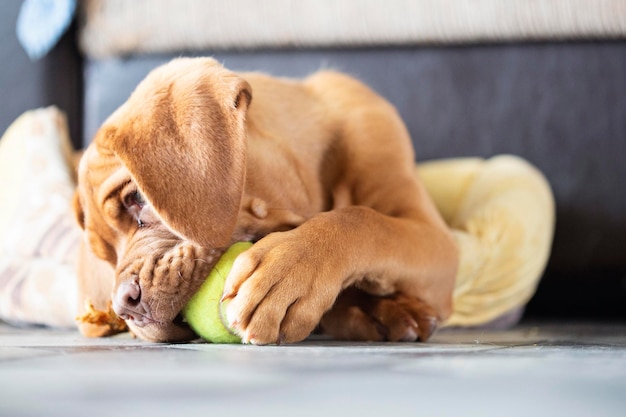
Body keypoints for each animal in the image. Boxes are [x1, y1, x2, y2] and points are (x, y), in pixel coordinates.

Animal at [73, 58, 456, 344]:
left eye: (138, 197)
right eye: (107, 257)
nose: (124, 306)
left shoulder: (436, 239)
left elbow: (362, 218)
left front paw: (288, 270)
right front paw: (376, 309)